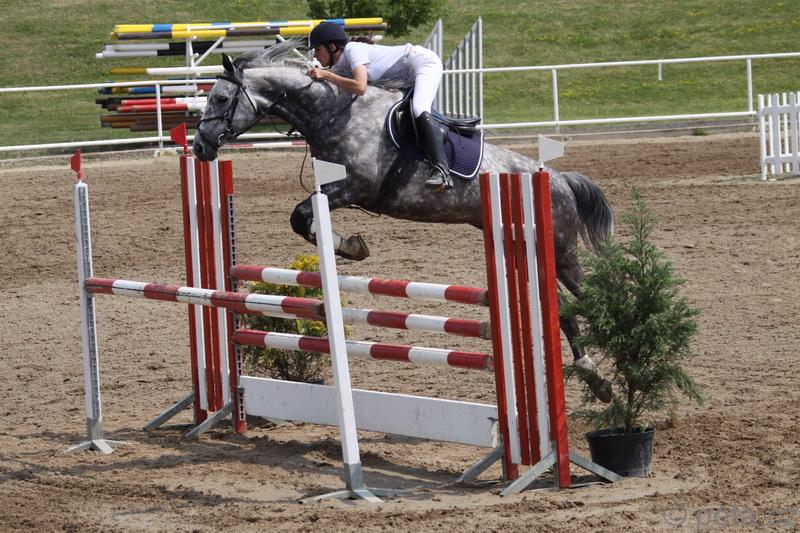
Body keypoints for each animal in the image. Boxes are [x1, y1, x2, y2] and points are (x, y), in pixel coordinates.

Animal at [192, 42, 614, 401]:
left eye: (221, 98)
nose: (199, 147)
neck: (333, 113)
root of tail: (558, 179)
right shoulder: (332, 189)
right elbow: (303, 218)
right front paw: (350, 246)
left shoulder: (354, 187)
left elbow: (301, 215)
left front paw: (349, 246)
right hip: (521, 246)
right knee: (562, 306)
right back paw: (595, 377)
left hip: (560, 248)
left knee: (586, 295)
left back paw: (602, 372)